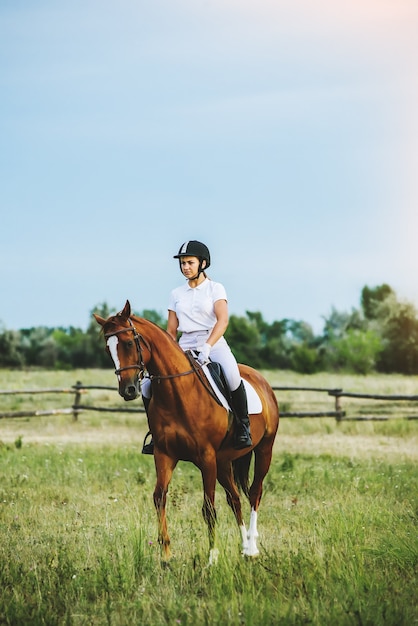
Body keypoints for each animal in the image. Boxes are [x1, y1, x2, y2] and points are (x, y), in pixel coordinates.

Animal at [93, 300, 280, 564]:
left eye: (129, 342)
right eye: (108, 350)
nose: (128, 390)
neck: (178, 394)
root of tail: (260, 379)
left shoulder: (206, 458)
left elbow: (208, 508)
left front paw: (212, 557)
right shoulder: (164, 454)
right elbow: (159, 497)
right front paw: (166, 555)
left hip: (264, 449)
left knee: (254, 493)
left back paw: (252, 548)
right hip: (224, 461)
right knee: (234, 499)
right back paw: (244, 547)